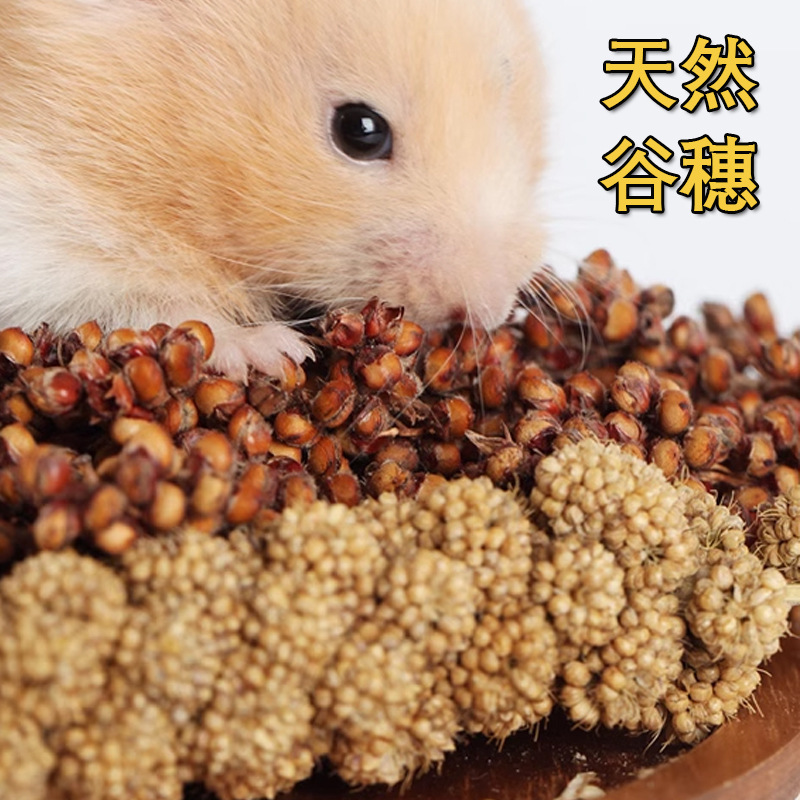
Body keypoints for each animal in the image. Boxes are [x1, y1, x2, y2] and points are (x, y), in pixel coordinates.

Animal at [0, 0, 546, 378]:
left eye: (508, 77)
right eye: (360, 130)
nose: (489, 312)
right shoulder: (35, 236)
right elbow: (148, 304)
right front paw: (278, 352)